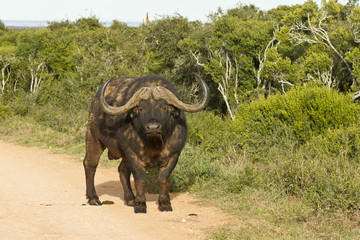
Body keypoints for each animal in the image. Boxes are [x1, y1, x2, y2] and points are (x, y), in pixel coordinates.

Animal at [83, 74, 210, 213]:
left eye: (165, 107)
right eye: (141, 108)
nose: (153, 127)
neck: (153, 144)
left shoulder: (173, 156)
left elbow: (163, 179)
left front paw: (164, 203)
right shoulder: (133, 154)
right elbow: (141, 179)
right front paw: (140, 204)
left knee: (122, 170)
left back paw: (130, 199)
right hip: (93, 137)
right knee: (90, 164)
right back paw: (93, 198)